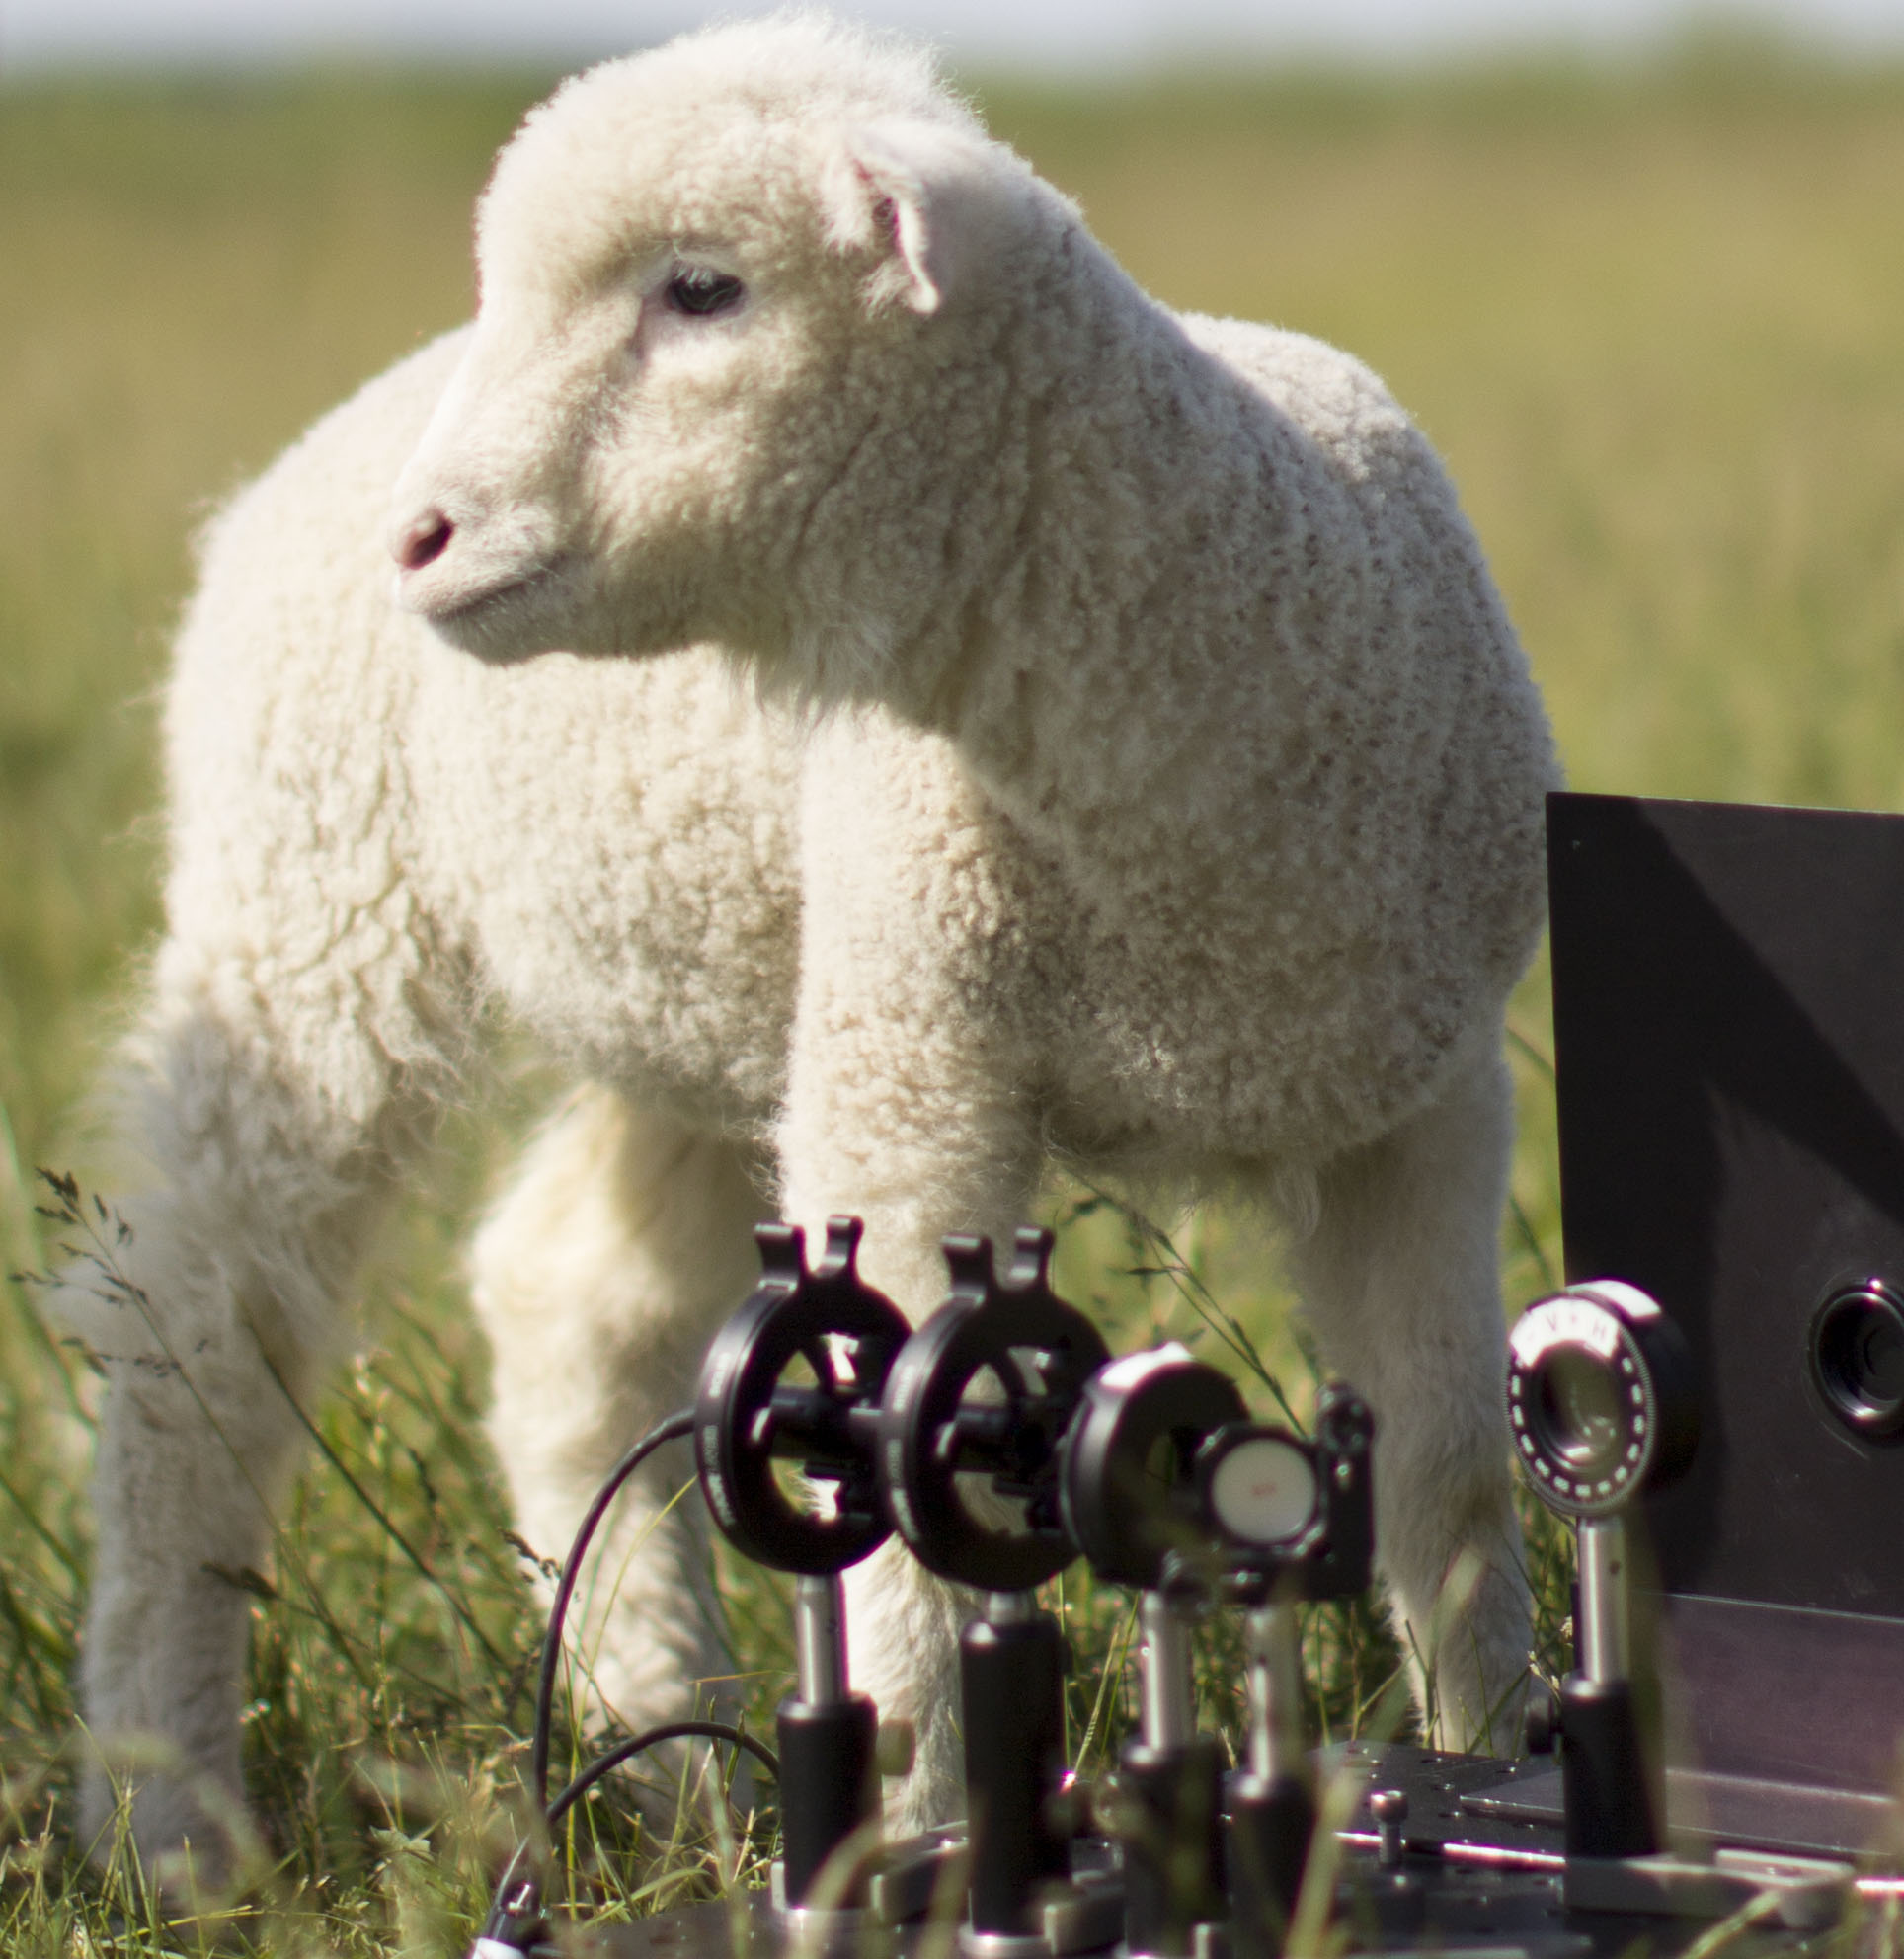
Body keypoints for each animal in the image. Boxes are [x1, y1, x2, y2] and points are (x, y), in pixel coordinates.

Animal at [52, 10, 1557, 1880]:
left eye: (702, 289)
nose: (428, 537)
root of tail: (331, 436)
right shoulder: (918, 1063)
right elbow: (914, 1458)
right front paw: (925, 1831)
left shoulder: (1420, 1098)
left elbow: (1449, 1469)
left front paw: (1489, 1757)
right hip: (312, 915)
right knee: (189, 1342)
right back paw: (167, 1816)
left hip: (714, 983)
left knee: (568, 1298)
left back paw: (661, 1747)